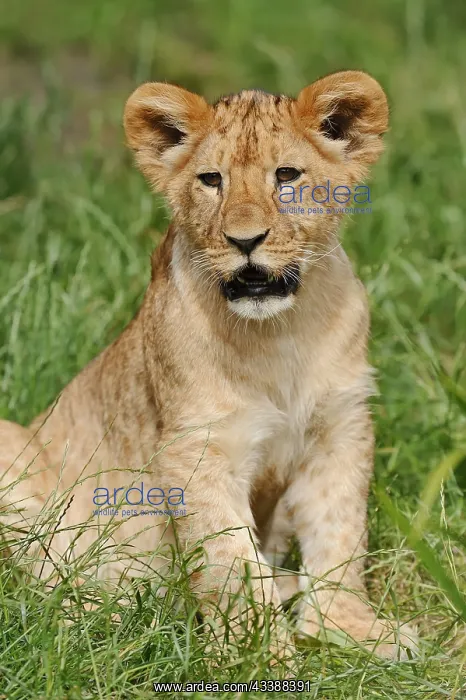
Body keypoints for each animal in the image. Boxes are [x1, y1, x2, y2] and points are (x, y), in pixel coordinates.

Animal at [0, 70, 417, 659]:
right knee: (34, 586)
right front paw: (261, 656)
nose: (245, 241)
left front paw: (347, 629)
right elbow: (231, 563)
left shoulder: (341, 427)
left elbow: (339, 533)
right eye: (211, 180)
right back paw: (107, 620)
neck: (278, 336)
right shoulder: (196, 450)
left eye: (286, 175)